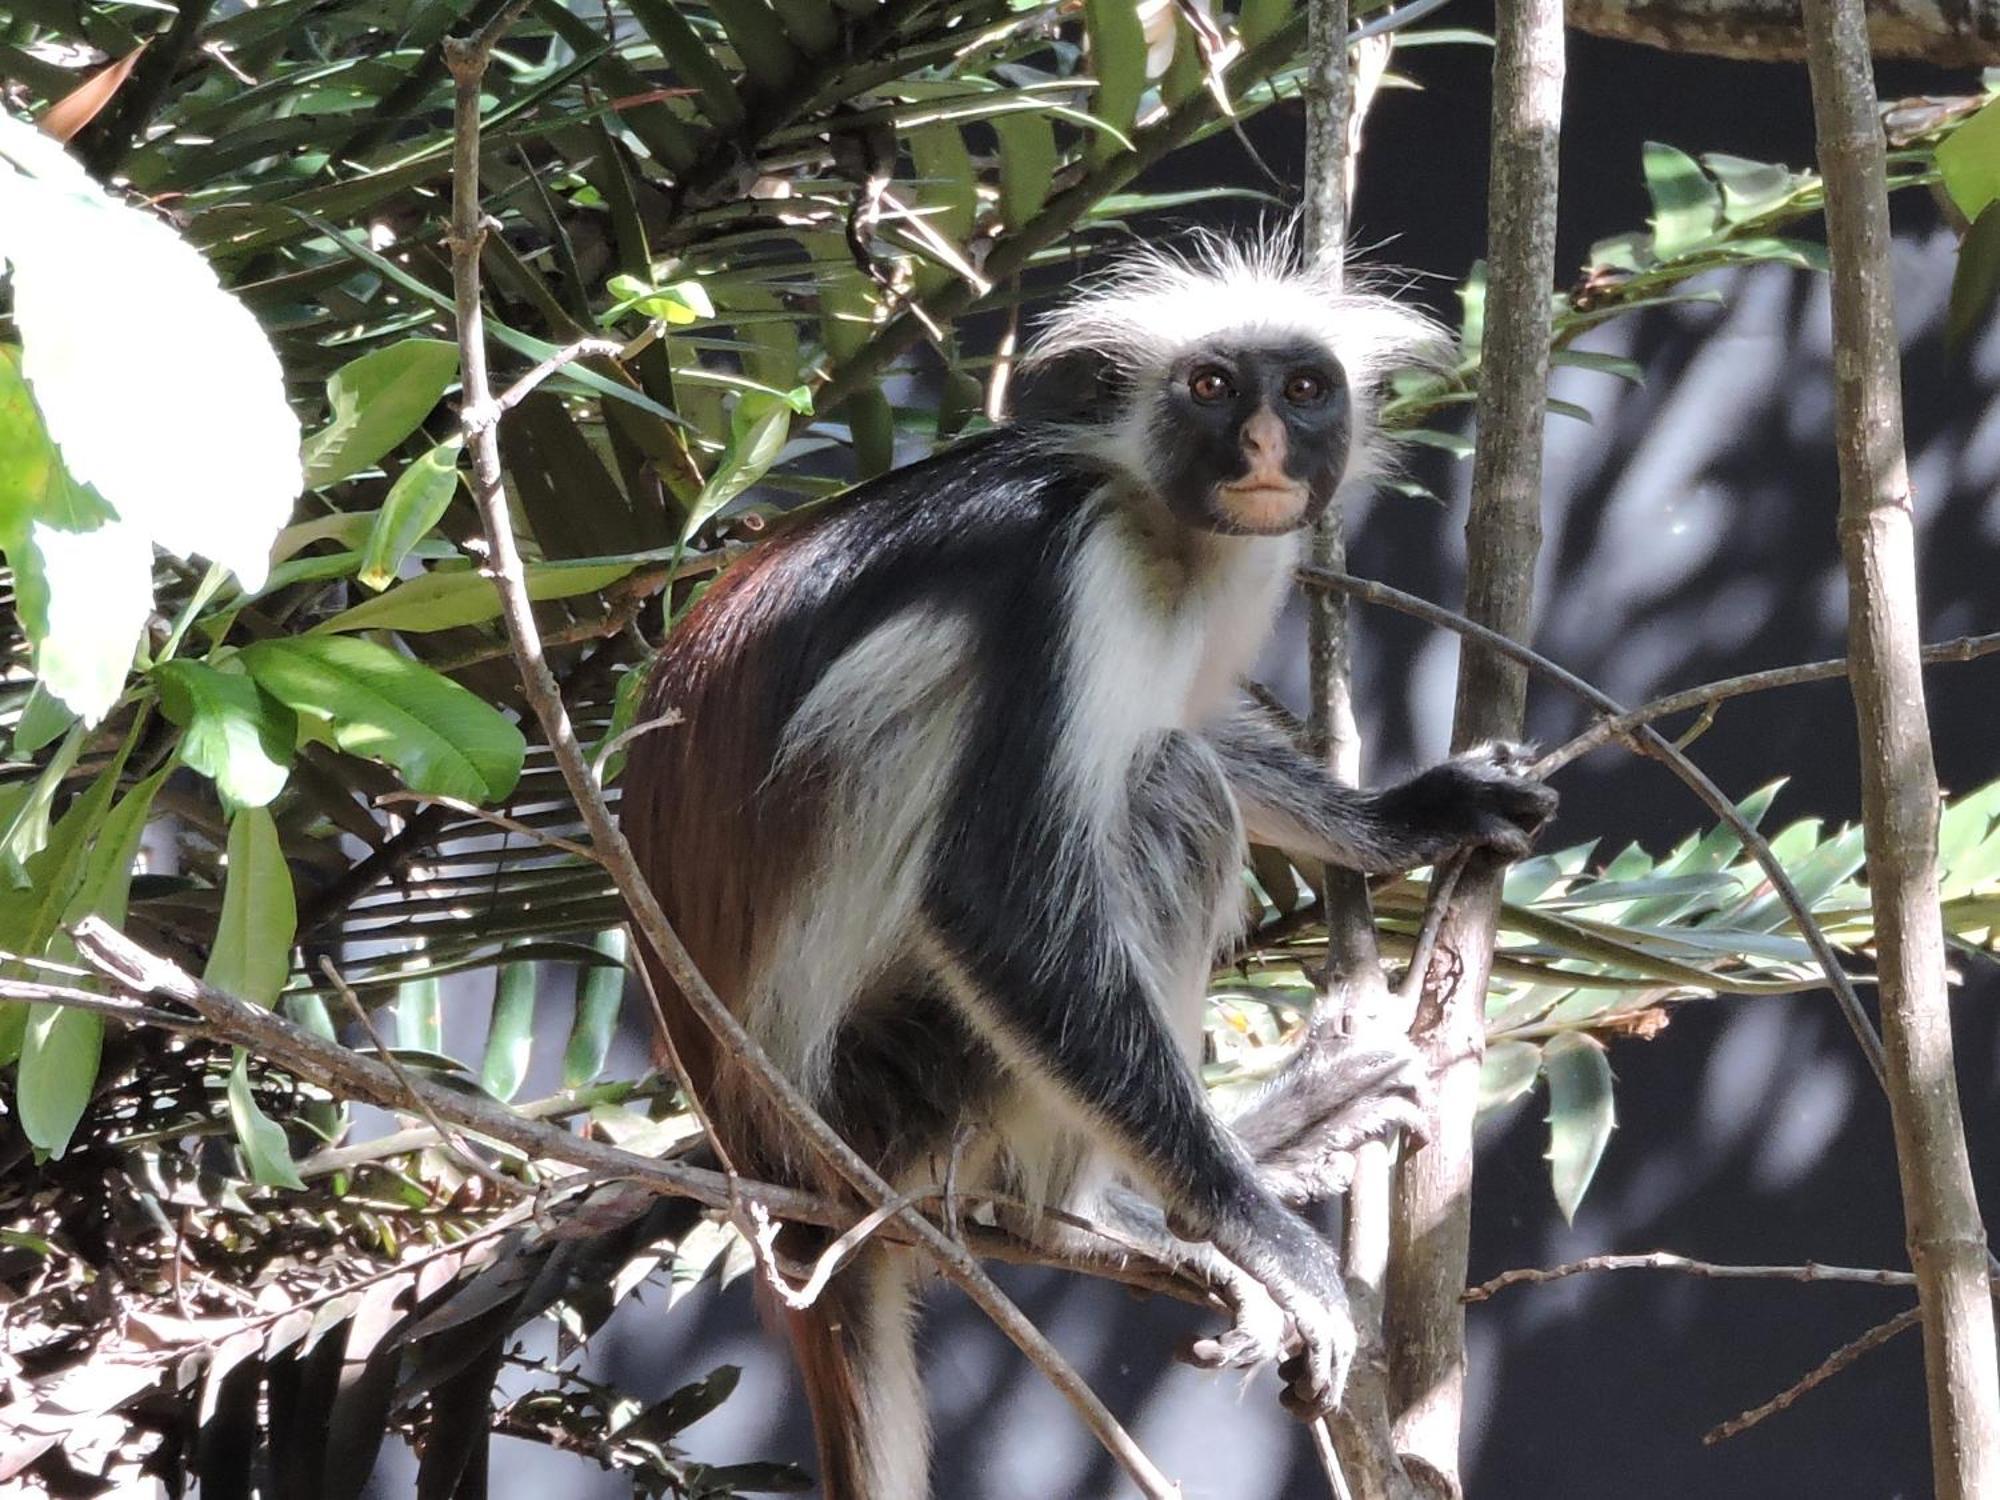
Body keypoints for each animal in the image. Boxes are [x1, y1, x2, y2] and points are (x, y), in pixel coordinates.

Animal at [624, 241, 1560, 1496]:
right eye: (1211, 388)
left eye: (1302, 390)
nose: (1263, 447)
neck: (1152, 515)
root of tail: (783, 1172)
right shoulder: (1071, 570)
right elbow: (996, 898)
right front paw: (1263, 1238)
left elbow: (1198, 727)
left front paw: (1401, 817)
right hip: (902, 1094)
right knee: (1164, 792)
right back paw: (1109, 1213)